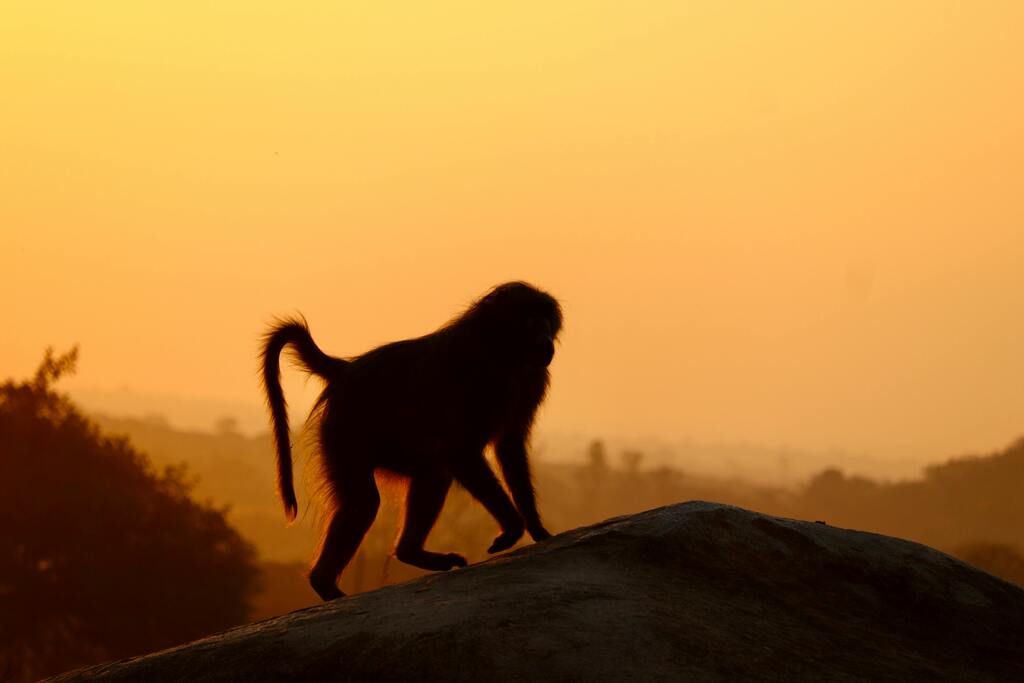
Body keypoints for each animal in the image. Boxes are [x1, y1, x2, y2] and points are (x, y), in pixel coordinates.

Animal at [261, 281, 561, 601]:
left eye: (546, 316)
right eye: (530, 316)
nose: (546, 341)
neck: (504, 350)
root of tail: (346, 368)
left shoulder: (530, 381)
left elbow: (509, 447)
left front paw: (538, 530)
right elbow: (460, 452)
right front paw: (513, 529)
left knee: (430, 475)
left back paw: (408, 553)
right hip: (346, 430)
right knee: (366, 502)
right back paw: (327, 585)